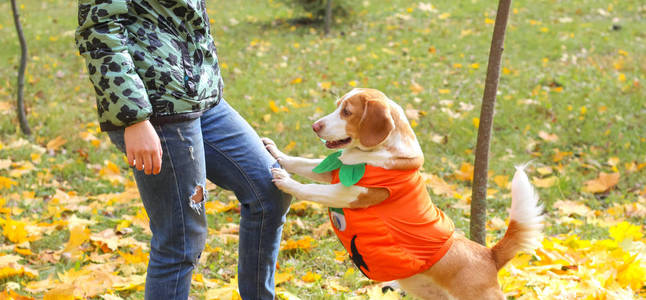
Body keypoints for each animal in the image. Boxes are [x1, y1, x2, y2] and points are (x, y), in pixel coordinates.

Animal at [260, 88, 544, 298]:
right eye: (337, 106)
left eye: (347, 112)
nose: (315, 126)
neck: (372, 157)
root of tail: (488, 256)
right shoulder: (333, 172)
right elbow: (301, 162)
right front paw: (276, 153)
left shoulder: (351, 193)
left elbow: (313, 189)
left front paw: (287, 182)